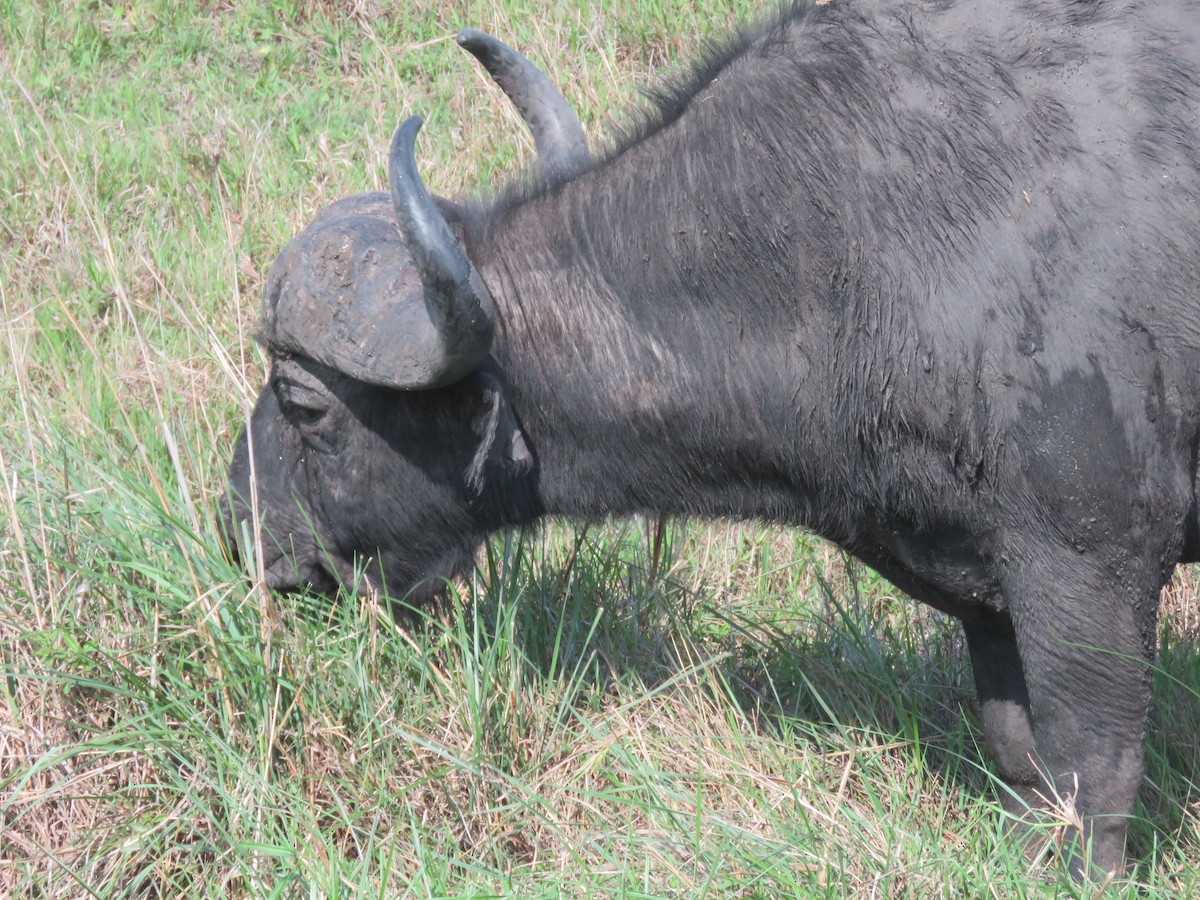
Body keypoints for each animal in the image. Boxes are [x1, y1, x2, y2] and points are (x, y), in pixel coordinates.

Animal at [223, 0, 1200, 878]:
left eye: (305, 403)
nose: (243, 520)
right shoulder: (983, 582)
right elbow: (1019, 753)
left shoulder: (1089, 562)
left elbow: (1093, 767)